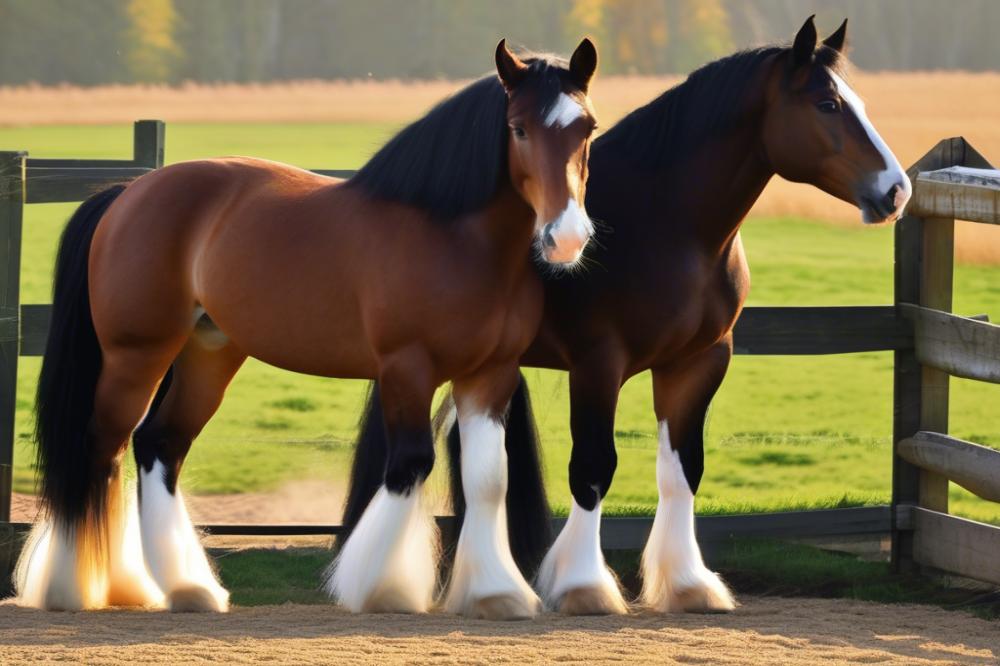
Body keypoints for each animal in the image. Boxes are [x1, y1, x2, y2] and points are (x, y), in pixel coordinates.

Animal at [15, 39, 596, 616]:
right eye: (519, 128)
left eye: (586, 127)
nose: (566, 237)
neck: (455, 238)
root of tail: (128, 192)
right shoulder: (407, 367)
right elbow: (409, 465)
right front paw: (380, 586)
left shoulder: (490, 374)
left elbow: (488, 480)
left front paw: (496, 592)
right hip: (136, 353)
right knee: (100, 447)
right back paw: (75, 587)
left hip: (208, 354)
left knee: (159, 445)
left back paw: (182, 588)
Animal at [344, 16, 916, 612]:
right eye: (827, 103)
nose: (896, 191)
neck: (665, 224)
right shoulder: (598, 363)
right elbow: (594, 468)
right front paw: (583, 585)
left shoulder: (699, 361)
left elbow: (684, 470)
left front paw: (688, 583)